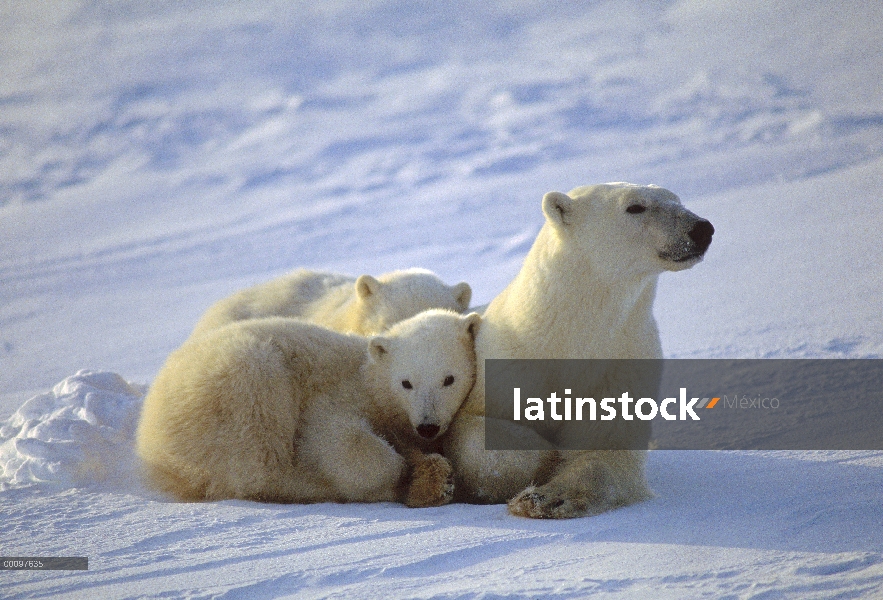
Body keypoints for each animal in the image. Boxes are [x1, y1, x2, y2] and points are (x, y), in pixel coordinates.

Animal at [137, 310, 480, 506]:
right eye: (406, 382)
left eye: (449, 379)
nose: (427, 425)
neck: (370, 378)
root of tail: (148, 433)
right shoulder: (336, 395)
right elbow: (336, 441)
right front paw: (411, 473)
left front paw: (428, 468)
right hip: (236, 382)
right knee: (260, 461)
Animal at [446, 180, 716, 516]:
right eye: (635, 207)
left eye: (677, 199)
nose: (702, 228)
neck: (569, 336)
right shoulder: (509, 366)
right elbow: (479, 439)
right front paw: (542, 463)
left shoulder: (619, 365)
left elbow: (606, 450)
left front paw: (548, 497)